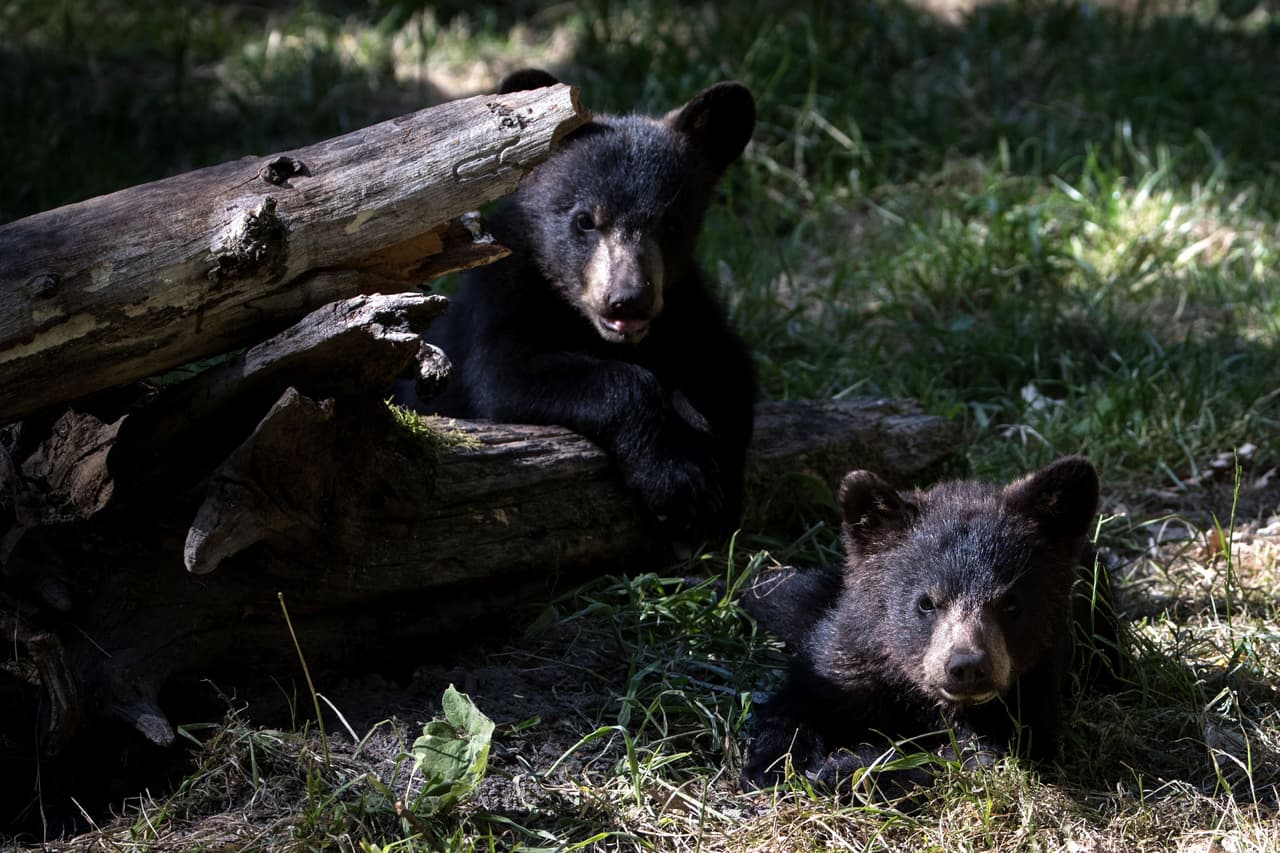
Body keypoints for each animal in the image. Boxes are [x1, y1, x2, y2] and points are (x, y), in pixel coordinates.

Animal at [413, 70, 758, 541]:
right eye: (584, 220)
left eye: (671, 223)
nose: (629, 301)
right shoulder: (502, 303)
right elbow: (504, 375)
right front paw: (677, 478)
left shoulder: (686, 304)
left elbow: (729, 368)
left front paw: (719, 488)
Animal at [738, 456, 1115, 795]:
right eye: (926, 602)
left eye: (1011, 603)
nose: (967, 666)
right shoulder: (851, 653)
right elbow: (806, 692)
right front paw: (774, 765)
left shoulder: (1030, 690)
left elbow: (975, 757)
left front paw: (845, 770)